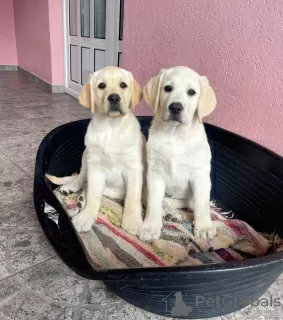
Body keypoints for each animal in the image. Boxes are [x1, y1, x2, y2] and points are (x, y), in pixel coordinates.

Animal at [47, 65, 144, 235]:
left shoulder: (134, 168)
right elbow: (93, 196)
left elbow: (133, 196)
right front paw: (85, 217)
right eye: (101, 86)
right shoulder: (95, 168)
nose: (114, 98)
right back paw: (72, 190)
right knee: (81, 179)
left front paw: (131, 221)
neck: (111, 127)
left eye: (123, 85)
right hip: (86, 156)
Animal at [139, 66, 217, 241]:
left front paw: (204, 227)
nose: (175, 107)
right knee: (164, 203)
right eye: (168, 88)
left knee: (191, 204)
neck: (175, 134)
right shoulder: (155, 175)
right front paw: (150, 227)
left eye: (191, 92)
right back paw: (170, 213)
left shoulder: (200, 175)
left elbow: (202, 203)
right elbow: (154, 203)